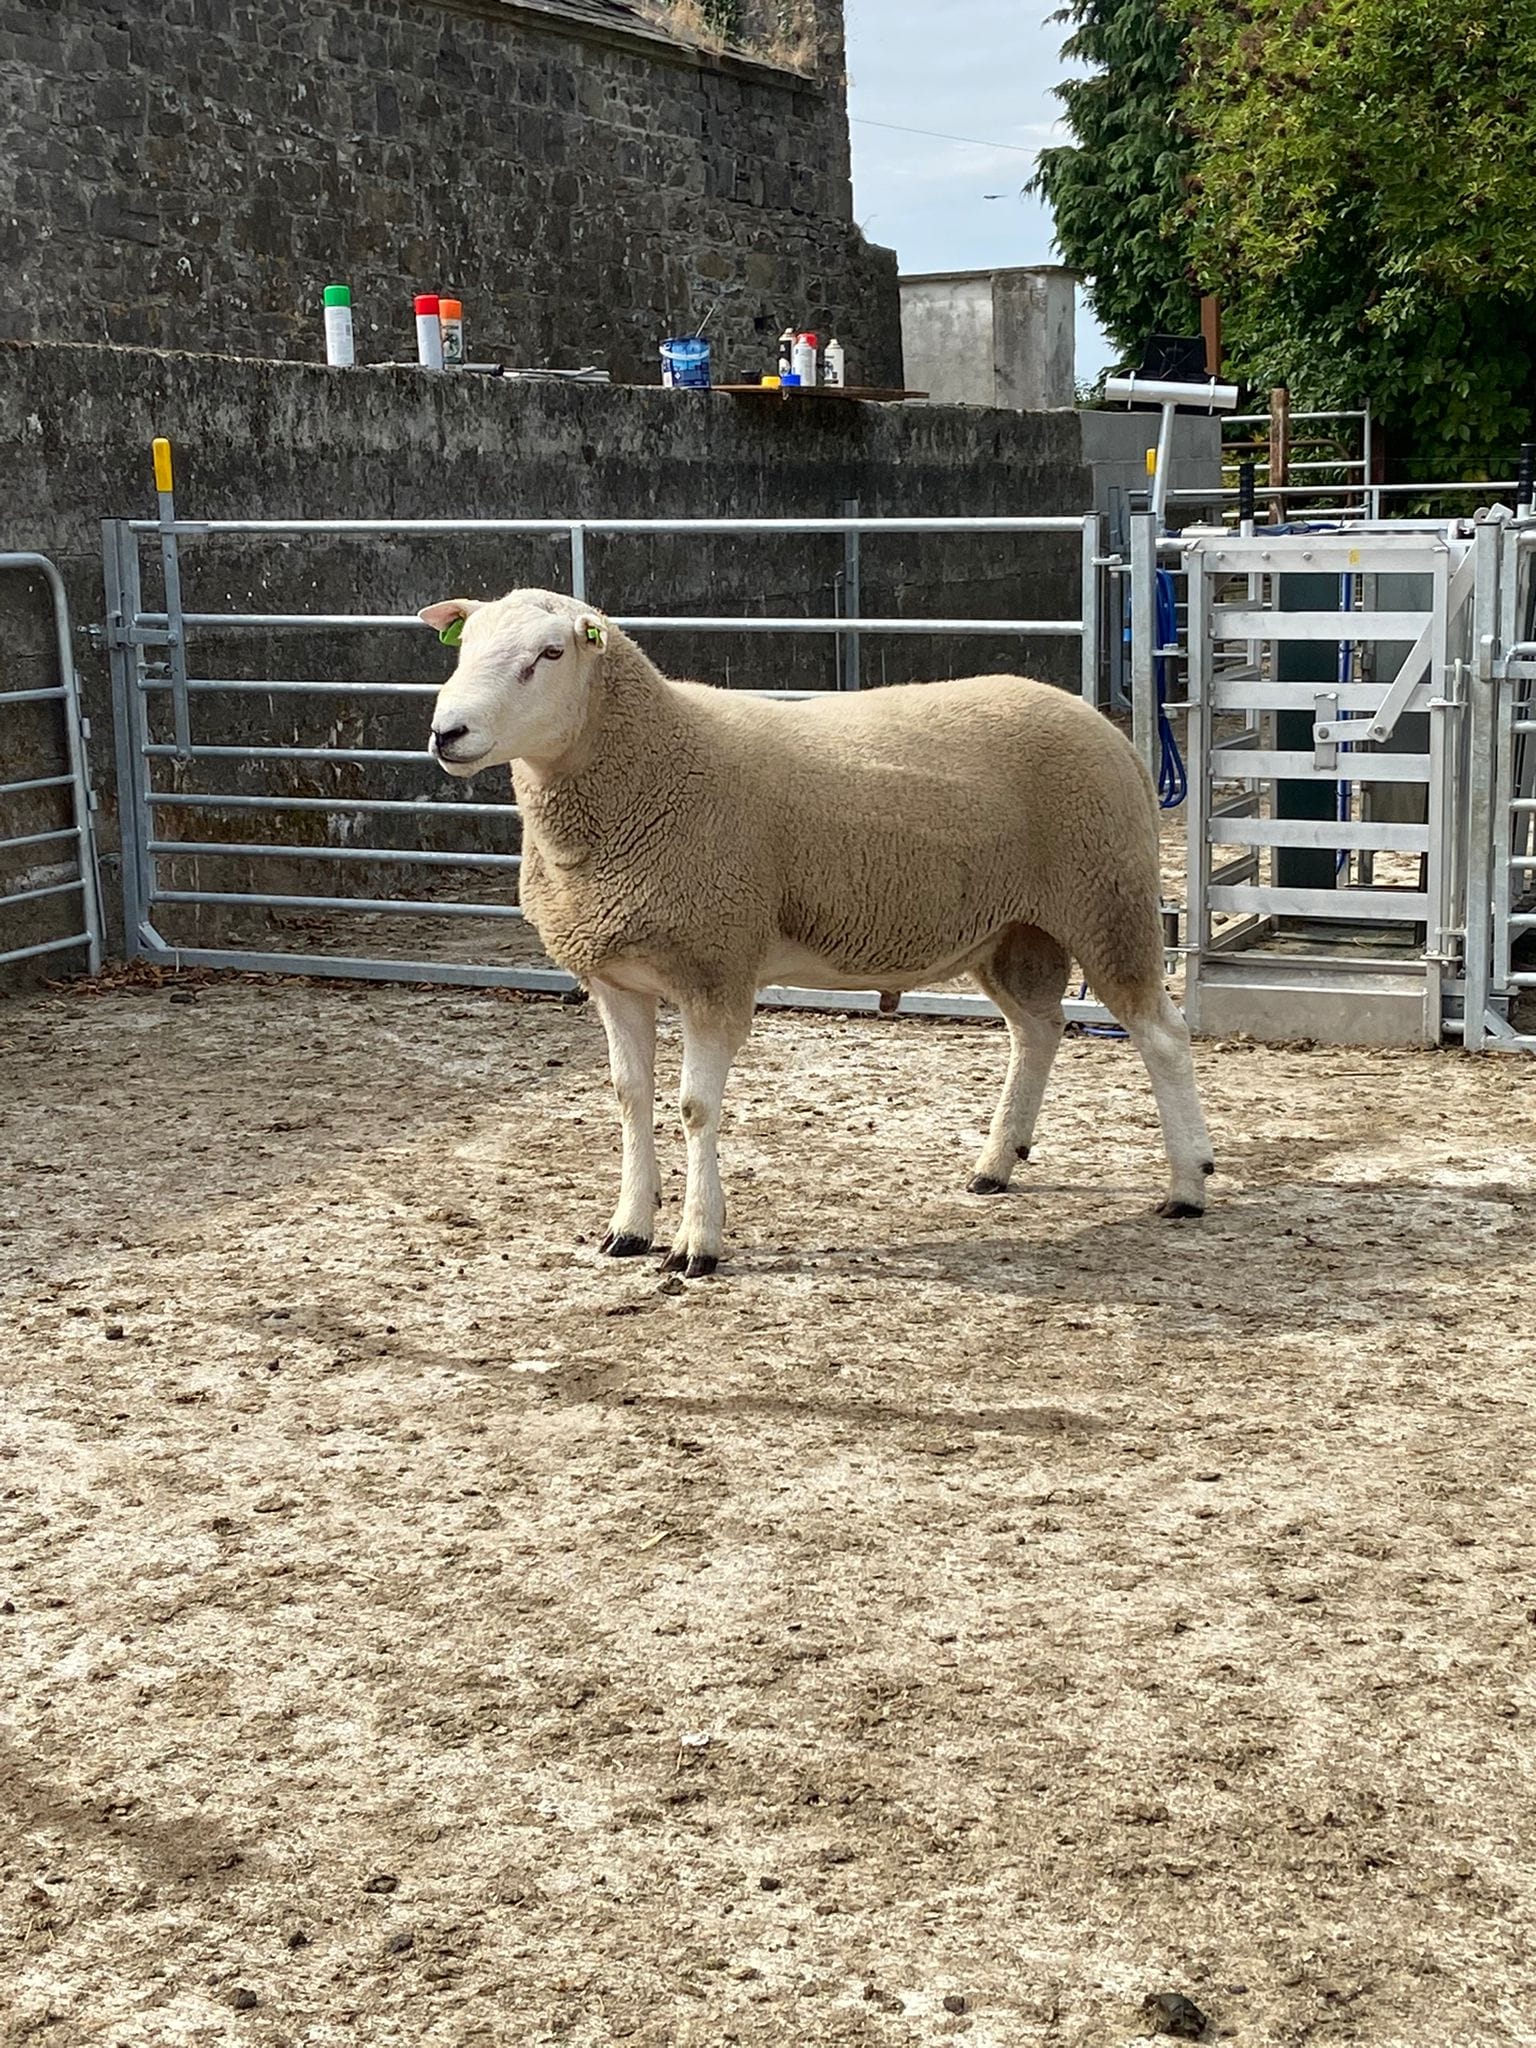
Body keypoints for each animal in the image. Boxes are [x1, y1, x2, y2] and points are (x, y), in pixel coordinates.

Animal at [421, 587, 1213, 1277]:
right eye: (465, 647)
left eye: (550, 653)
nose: (445, 733)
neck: (648, 768)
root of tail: (1108, 729)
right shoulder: (614, 974)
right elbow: (629, 1097)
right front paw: (629, 1229)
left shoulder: (716, 962)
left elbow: (694, 1108)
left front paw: (696, 1244)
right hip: (1012, 927)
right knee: (1038, 1029)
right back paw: (997, 1163)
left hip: (1105, 897)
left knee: (1161, 1034)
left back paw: (1188, 1183)